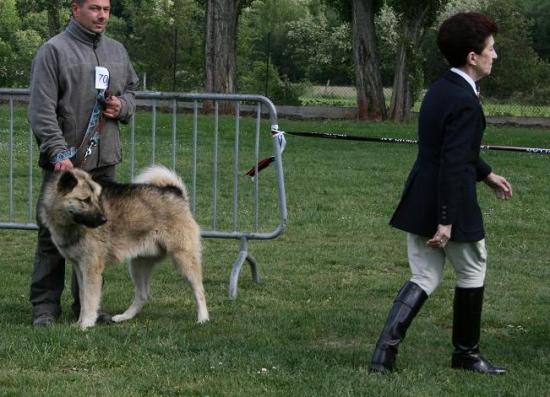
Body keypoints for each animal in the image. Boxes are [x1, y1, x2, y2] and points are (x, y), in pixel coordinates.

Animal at [38, 164, 210, 328]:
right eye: (85, 200)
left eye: (96, 199)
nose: (104, 219)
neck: (71, 225)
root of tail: (176, 193)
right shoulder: (79, 267)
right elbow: (82, 296)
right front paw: (79, 323)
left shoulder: (91, 268)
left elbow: (89, 299)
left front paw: (86, 324)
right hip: (138, 264)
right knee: (142, 295)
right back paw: (124, 317)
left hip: (184, 259)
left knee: (199, 290)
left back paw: (203, 318)